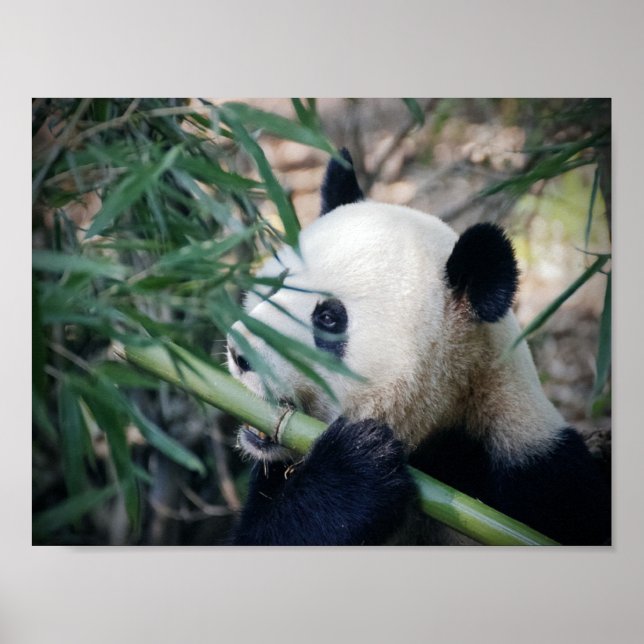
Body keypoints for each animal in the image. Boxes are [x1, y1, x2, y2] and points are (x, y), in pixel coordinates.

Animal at [226, 149, 611, 546]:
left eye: (329, 319)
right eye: (276, 284)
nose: (240, 352)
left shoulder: (539, 475)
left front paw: (357, 462)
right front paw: (356, 467)